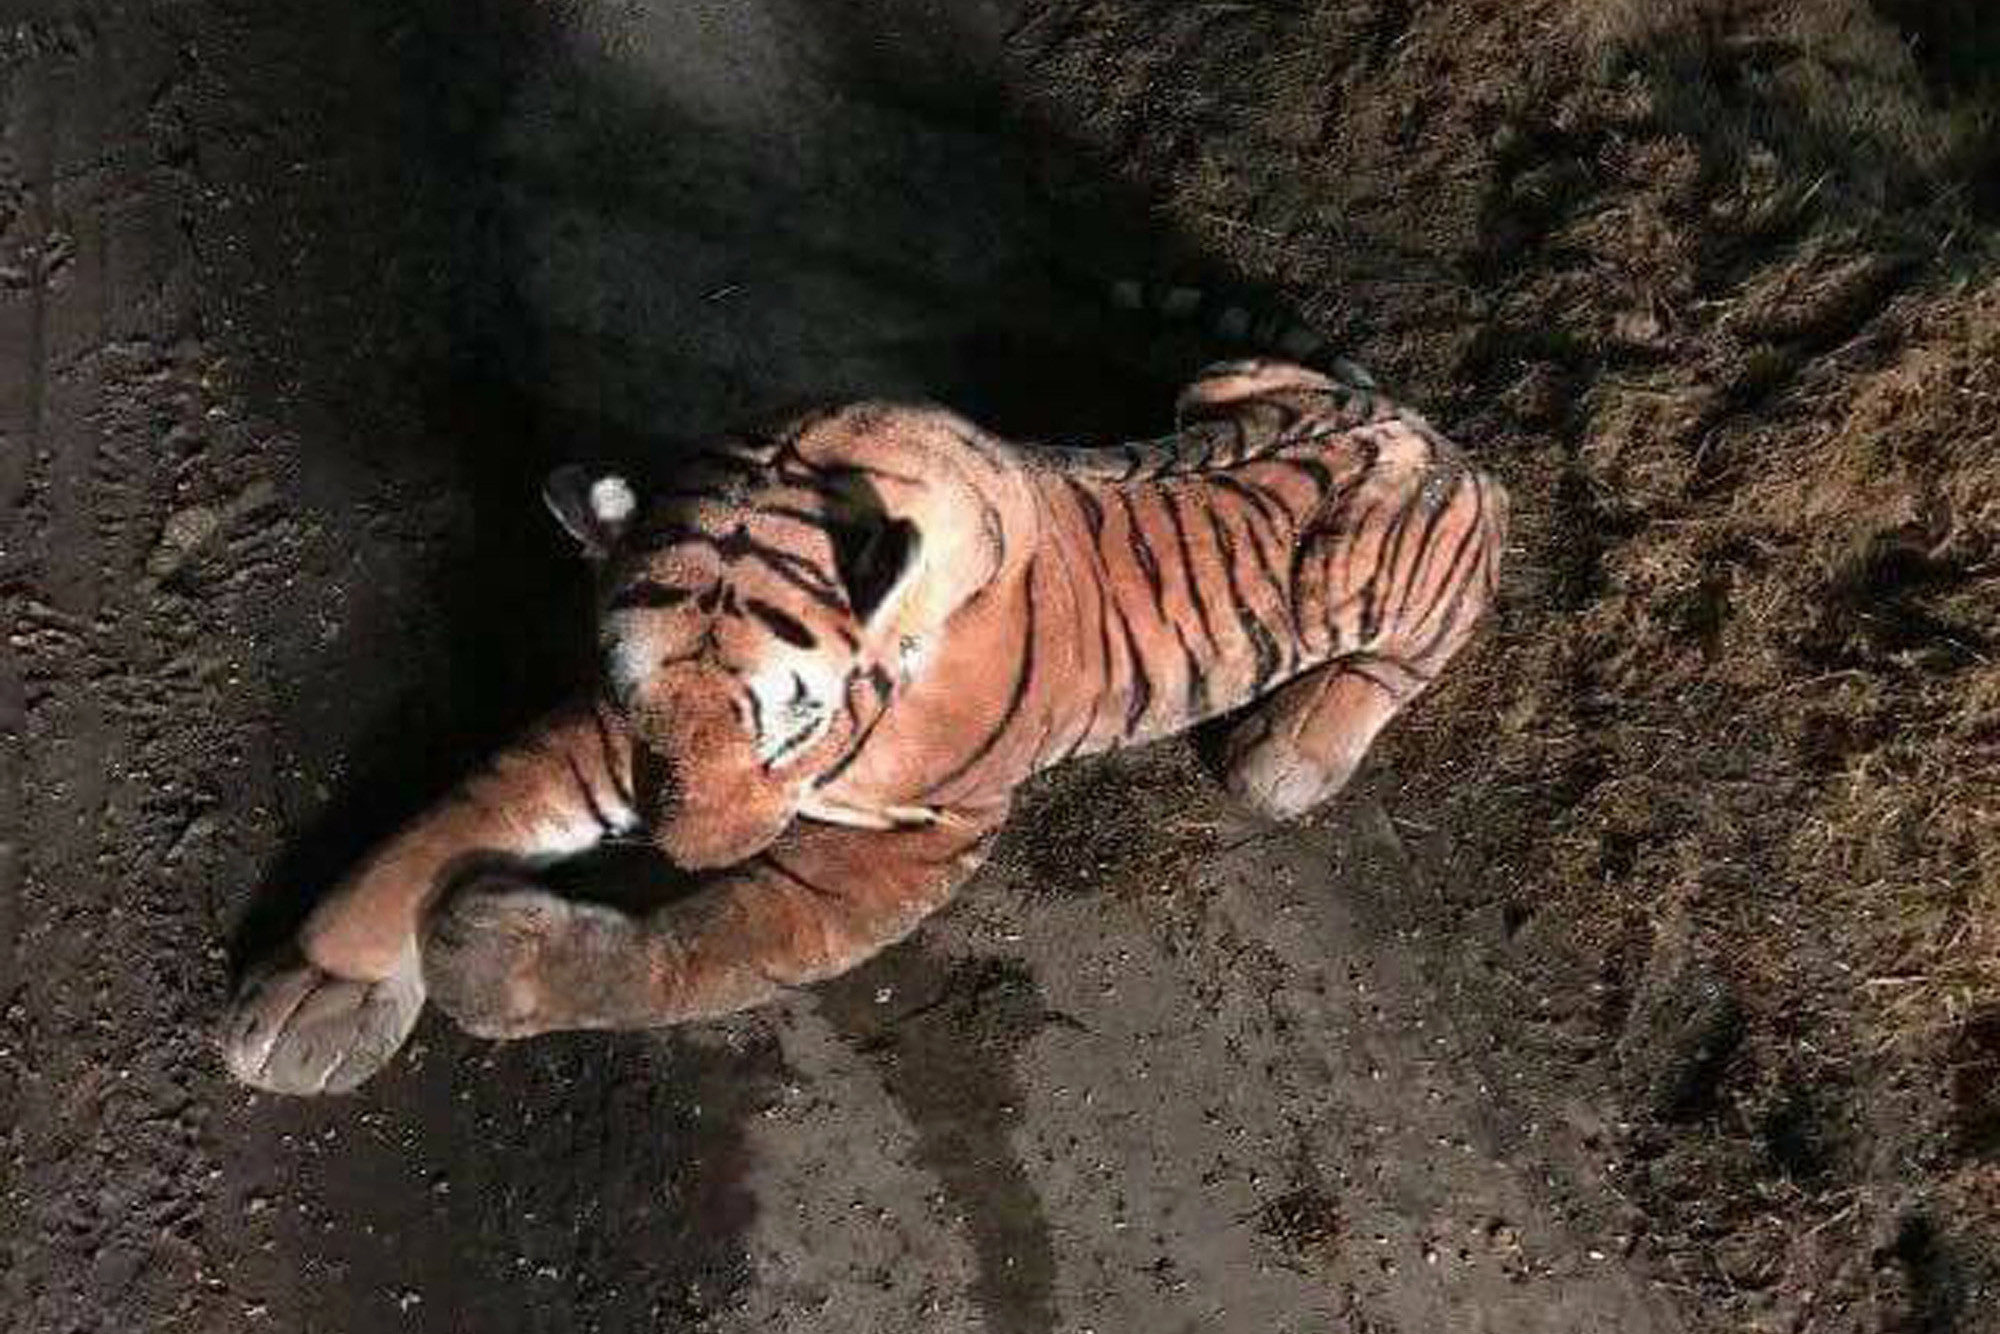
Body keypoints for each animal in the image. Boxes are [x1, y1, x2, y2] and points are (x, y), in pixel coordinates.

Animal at [222, 356, 1508, 1095]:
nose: (676, 848)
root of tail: (1427, 426)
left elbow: (707, 944)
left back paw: (1288, 750)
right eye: (644, 711)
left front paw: (496, 959)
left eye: (781, 734)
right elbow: (453, 815)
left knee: (1423, 631)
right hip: (1221, 381)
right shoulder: (611, 730)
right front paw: (317, 990)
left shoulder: (909, 841)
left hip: (1381, 581)